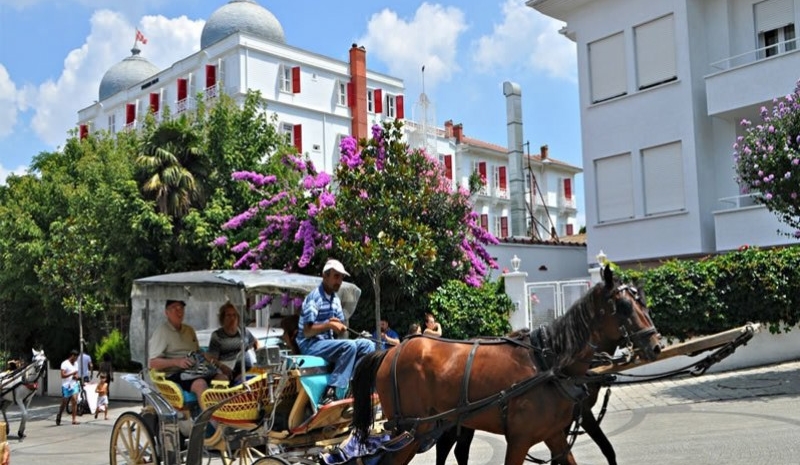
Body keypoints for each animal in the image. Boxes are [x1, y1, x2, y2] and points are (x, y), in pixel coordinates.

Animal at [354, 264, 660, 464]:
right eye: (624, 307)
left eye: (643, 303)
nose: (656, 344)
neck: (548, 364)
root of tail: (391, 352)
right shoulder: (520, 440)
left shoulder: (555, 435)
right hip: (412, 431)